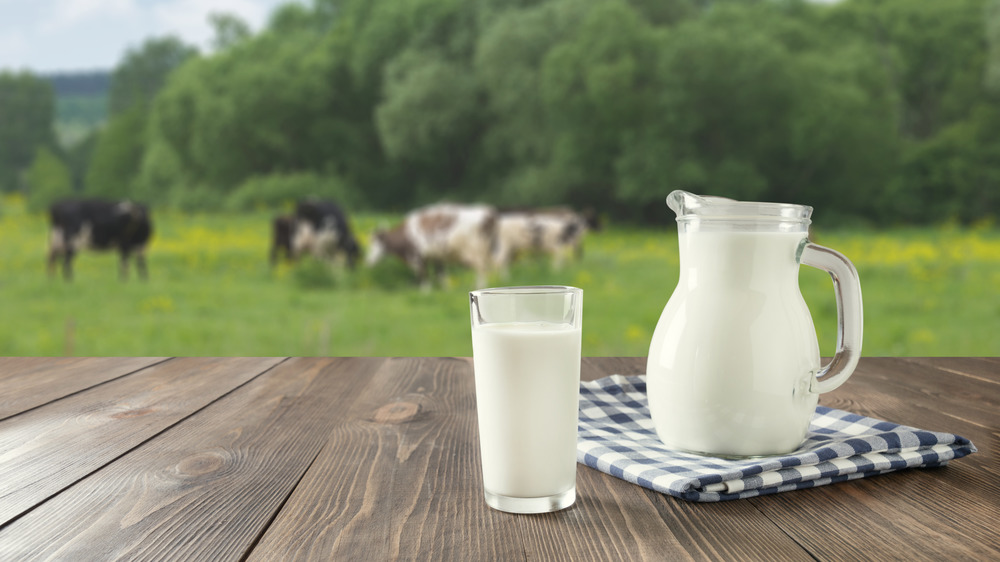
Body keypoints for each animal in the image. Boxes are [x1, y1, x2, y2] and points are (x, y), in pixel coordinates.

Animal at [366, 202, 498, 288]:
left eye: (374, 244)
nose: (368, 261)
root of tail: (486, 213)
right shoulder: (437, 257)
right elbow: (441, 276)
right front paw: (446, 290)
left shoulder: (417, 257)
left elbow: (423, 275)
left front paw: (425, 292)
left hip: (475, 253)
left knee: (481, 269)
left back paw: (480, 287)